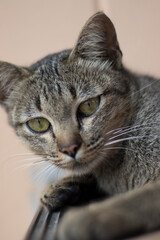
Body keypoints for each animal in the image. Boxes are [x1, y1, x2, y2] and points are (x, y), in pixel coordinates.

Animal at [0, 12, 160, 240]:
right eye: (39, 124)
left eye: (89, 105)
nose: (69, 148)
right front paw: (63, 186)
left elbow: (140, 199)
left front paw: (90, 218)